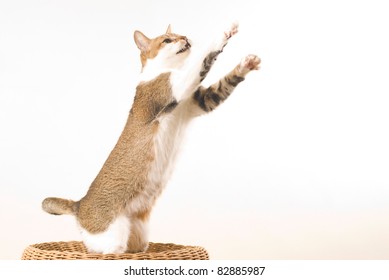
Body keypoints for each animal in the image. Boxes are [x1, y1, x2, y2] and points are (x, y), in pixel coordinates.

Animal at [41, 22, 260, 254]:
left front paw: (247, 63)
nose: (185, 38)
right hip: (112, 239)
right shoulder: (177, 86)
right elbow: (203, 56)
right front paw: (223, 34)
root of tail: (79, 204)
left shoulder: (202, 101)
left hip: (140, 238)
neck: (169, 69)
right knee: (101, 252)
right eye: (167, 40)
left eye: (180, 34)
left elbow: (221, 81)